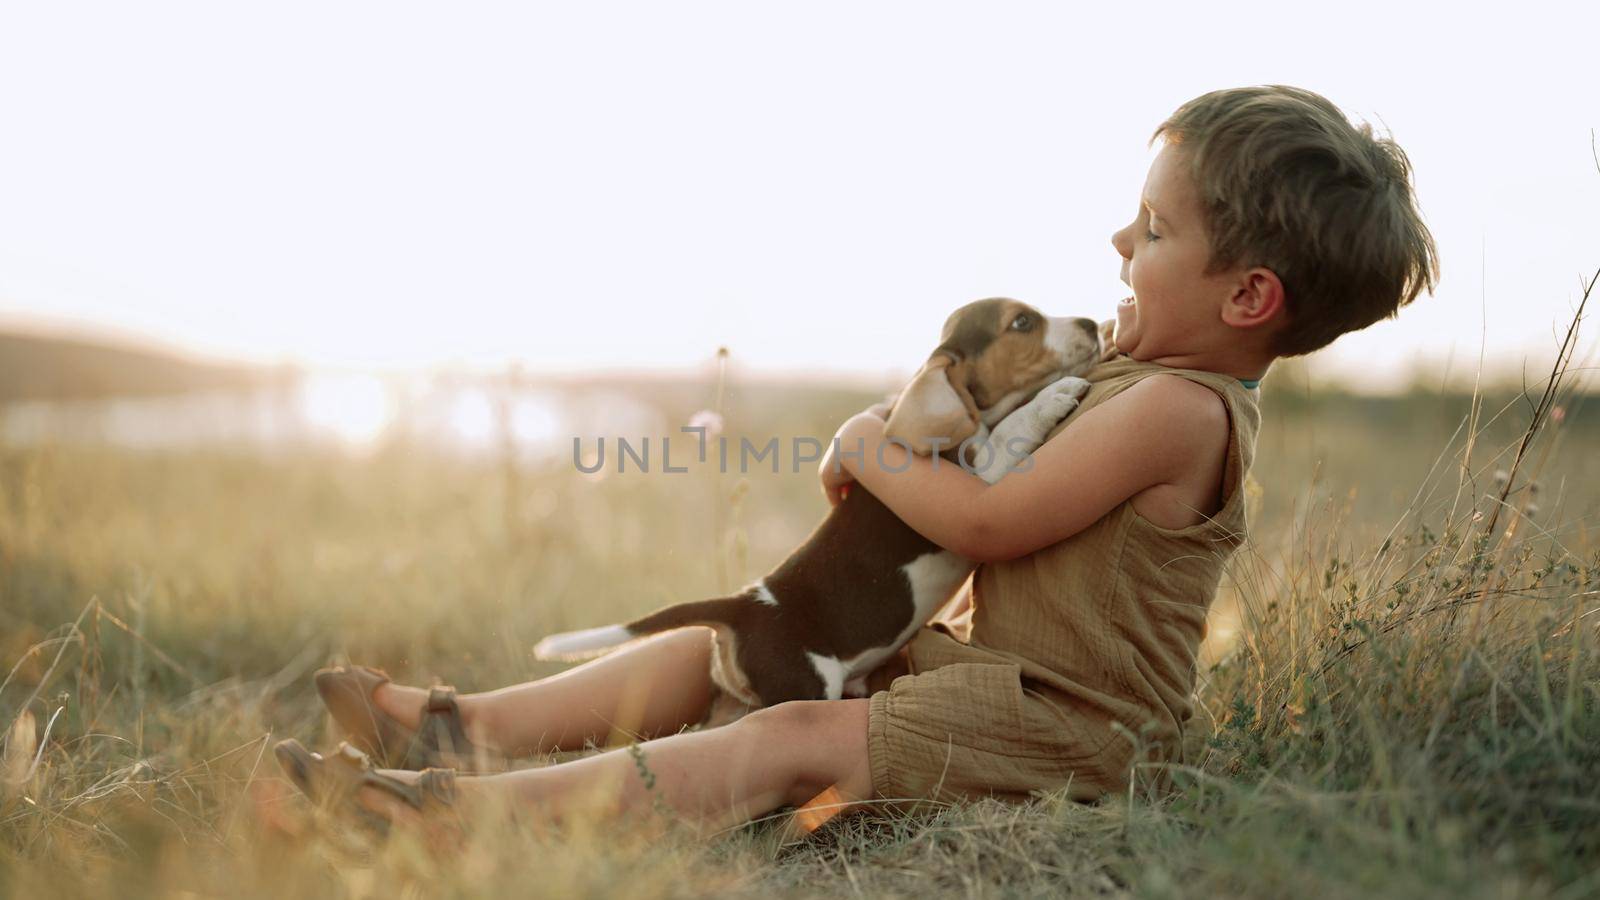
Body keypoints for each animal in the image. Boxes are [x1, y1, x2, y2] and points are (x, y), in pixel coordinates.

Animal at [534, 297, 1100, 717]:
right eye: (1022, 322)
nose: (1094, 322)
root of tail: (743, 605)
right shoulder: (978, 484)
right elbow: (1008, 433)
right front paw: (1051, 397)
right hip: (804, 685)